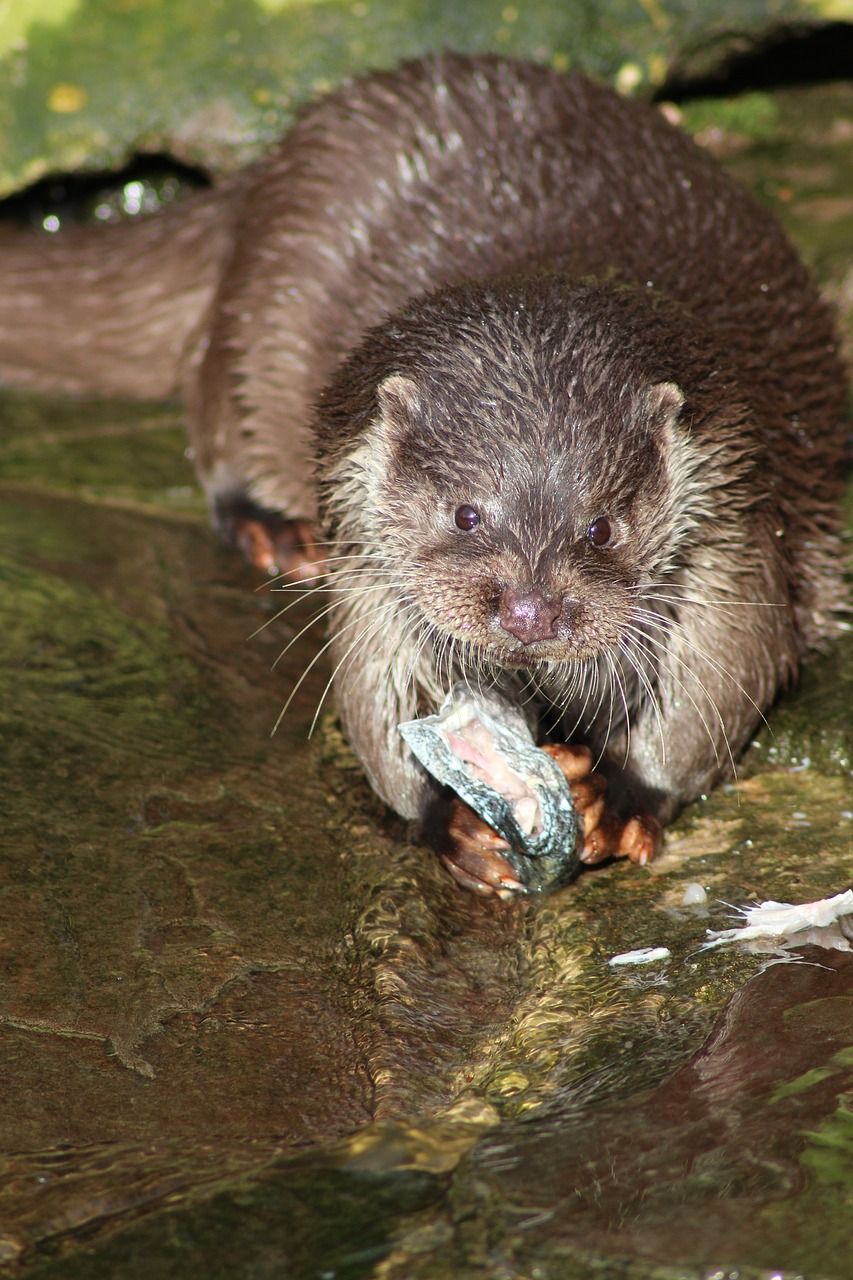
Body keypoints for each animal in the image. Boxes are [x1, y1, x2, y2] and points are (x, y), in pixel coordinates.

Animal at [1, 52, 845, 890]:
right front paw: (449, 816)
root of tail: (274, 157)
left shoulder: (732, 515)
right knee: (214, 398)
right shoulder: (361, 534)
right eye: (464, 515)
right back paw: (273, 531)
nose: (530, 612)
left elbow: (724, 672)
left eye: (602, 528)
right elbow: (372, 686)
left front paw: (619, 791)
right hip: (263, 296)